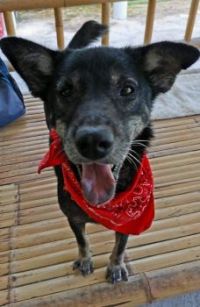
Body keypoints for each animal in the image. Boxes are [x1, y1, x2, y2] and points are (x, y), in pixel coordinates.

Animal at [1, 21, 198, 286]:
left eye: (128, 89)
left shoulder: (129, 222)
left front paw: (115, 266)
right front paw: (85, 260)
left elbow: (120, 246)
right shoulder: (73, 216)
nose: (92, 142)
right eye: (65, 91)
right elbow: (82, 241)